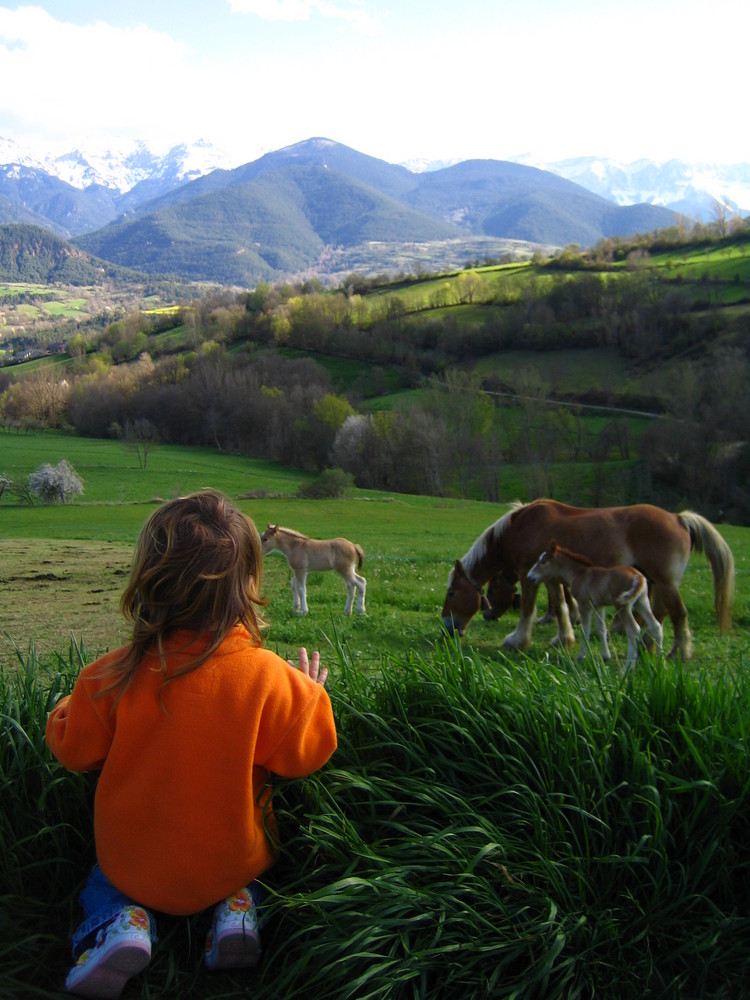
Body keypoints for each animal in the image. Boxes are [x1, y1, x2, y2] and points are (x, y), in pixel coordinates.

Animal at [444, 498, 736, 656]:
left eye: (452, 593)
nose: (447, 626)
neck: (519, 527)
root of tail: (679, 518)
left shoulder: (529, 575)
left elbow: (528, 608)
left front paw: (517, 641)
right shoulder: (549, 577)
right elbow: (560, 606)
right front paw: (564, 639)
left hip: (664, 582)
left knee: (678, 614)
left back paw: (680, 652)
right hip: (655, 582)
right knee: (662, 612)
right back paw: (648, 645)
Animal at [528, 540, 664, 672]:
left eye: (543, 562)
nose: (530, 577)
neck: (580, 574)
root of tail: (638, 576)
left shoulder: (584, 605)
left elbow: (585, 631)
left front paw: (581, 656)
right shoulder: (599, 606)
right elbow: (601, 629)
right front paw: (606, 656)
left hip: (622, 605)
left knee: (633, 630)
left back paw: (628, 667)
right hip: (642, 602)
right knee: (655, 626)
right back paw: (659, 662)